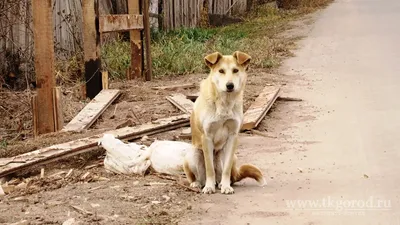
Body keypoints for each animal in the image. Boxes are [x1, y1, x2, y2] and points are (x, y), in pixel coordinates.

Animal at [184, 50, 266, 193]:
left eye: (235, 70)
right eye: (221, 71)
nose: (230, 85)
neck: (224, 102)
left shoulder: (233, 136)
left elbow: (226, 169)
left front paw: (226, 186)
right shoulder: (207, 137)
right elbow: (209, 168)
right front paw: (209, 187)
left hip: (229, 155)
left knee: (225, 174)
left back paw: (222, 183)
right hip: (192, 154)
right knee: (199, 177)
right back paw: (198, 184)